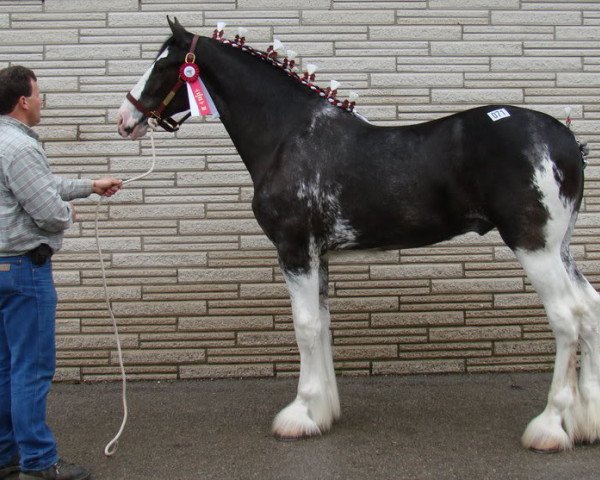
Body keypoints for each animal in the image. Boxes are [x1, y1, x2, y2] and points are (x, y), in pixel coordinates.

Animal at [116, 17, 596, 454]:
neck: (288, 135)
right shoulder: (319, 255)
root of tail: (567, 139)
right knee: (589, 309)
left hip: (535, 248)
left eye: (164, 64)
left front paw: (299, 414)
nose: (124, 119)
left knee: (567, 318)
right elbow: (323, 324)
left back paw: (550, 427)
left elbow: (305, 326)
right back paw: (585, 421)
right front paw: (322, 412)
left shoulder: (295, 250)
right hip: (560, 249)